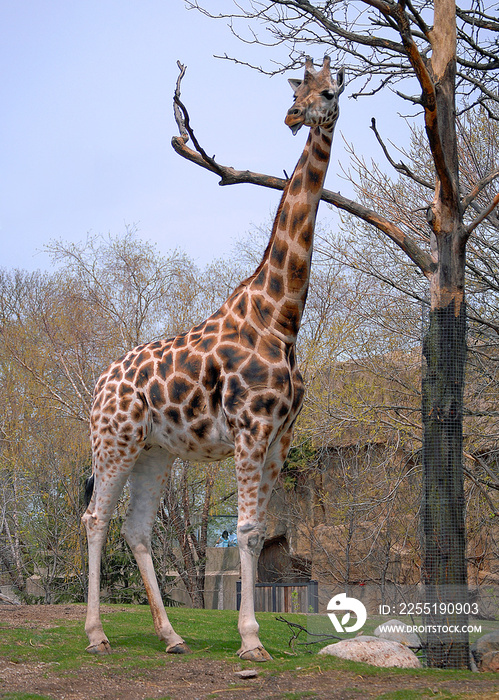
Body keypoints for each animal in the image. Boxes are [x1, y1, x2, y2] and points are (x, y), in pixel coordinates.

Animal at [82, 56, 346, 660]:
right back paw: (97, 635)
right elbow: (247, 531)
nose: (293, 115)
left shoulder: (281, 437)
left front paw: (250, 638)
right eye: (298, 90)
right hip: (113, 441)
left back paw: (172, 635)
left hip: (154, 452)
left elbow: (258, 530)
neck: (281, 317)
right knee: (95, 517)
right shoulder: (251, 429)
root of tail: (101, 382)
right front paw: (251, 642)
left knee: (135, 528)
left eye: (328, 91)